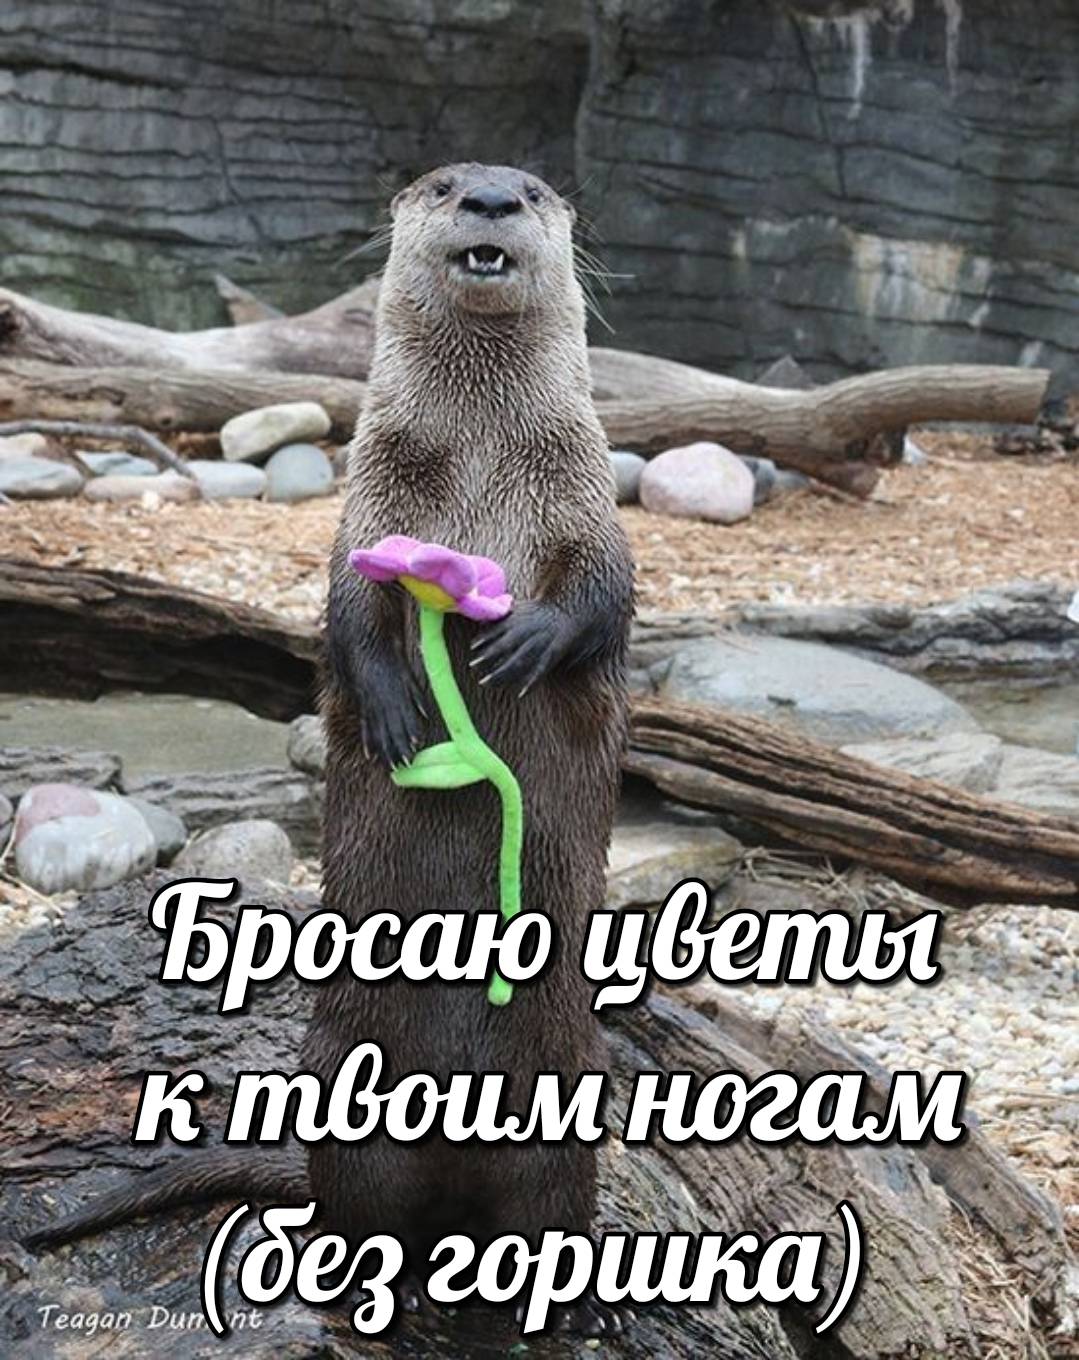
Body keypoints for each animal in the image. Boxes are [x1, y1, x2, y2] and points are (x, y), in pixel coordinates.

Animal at [25, 163, 634, 1332]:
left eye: (533, 190)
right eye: (445, 183)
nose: (491, 200)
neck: (481, 464)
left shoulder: (588, 496)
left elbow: (602, 594)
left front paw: (524, 639)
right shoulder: (369, 506)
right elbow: (349, 618)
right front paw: (396, 712)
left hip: (565, 1096)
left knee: (543, 1210)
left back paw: (577, 1300)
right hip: (345, 1083)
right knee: (361, 1214)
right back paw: (367, 1288)